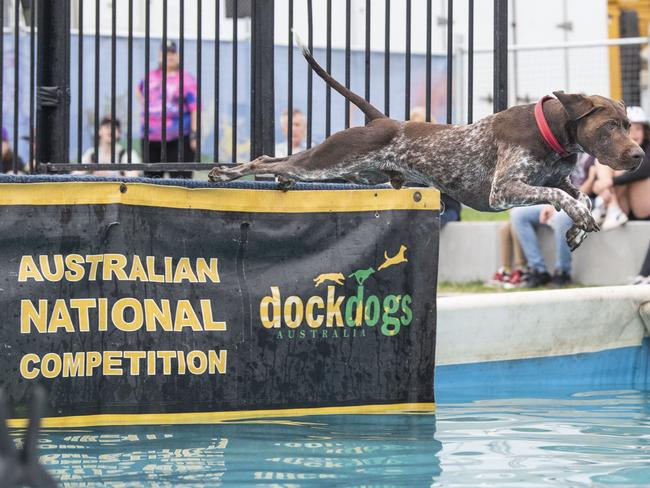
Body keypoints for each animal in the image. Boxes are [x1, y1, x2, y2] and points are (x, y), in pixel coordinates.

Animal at [210, 39, 640, 252]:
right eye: (609, 127)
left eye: (629, 126)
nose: (638, 155)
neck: (550, 134)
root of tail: (380, 119)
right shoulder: (504, 191)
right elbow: (562, 196)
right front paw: (578, 219)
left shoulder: (559, 179)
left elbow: (580, 196)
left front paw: (578, 229)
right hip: (330, 160)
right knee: (267, 159)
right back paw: (226, 173)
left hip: (355, 173)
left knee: (279, 161)